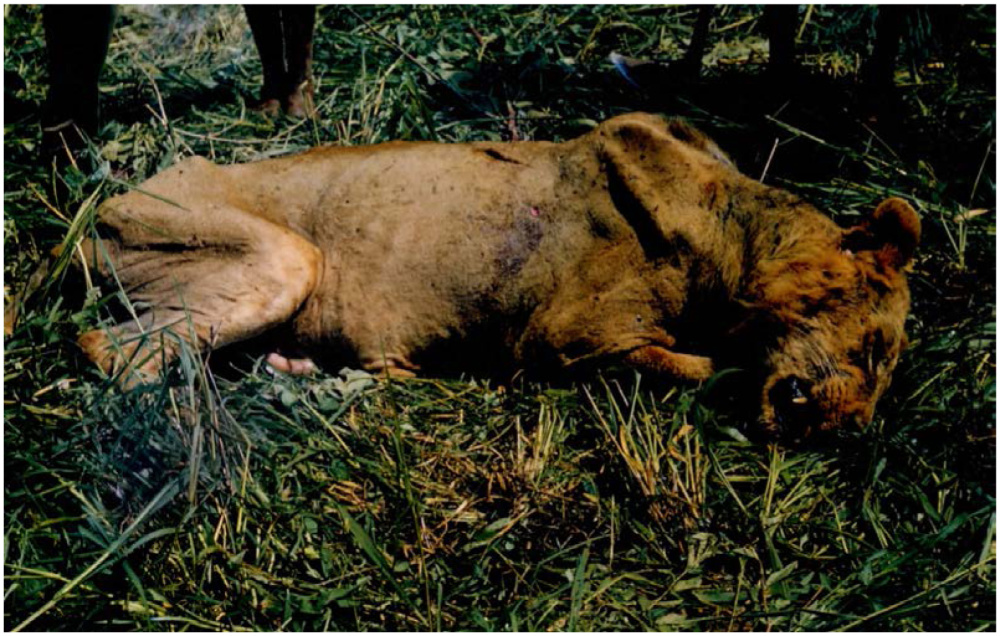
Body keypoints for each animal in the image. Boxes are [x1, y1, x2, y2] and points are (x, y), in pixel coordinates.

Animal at [74, 113, 916, 438]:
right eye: (876, 348)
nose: (849, 429)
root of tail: (96, 213)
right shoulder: (560, 338)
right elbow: (698, 367)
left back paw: (303, 371)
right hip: (268, 254)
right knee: (105, 352)